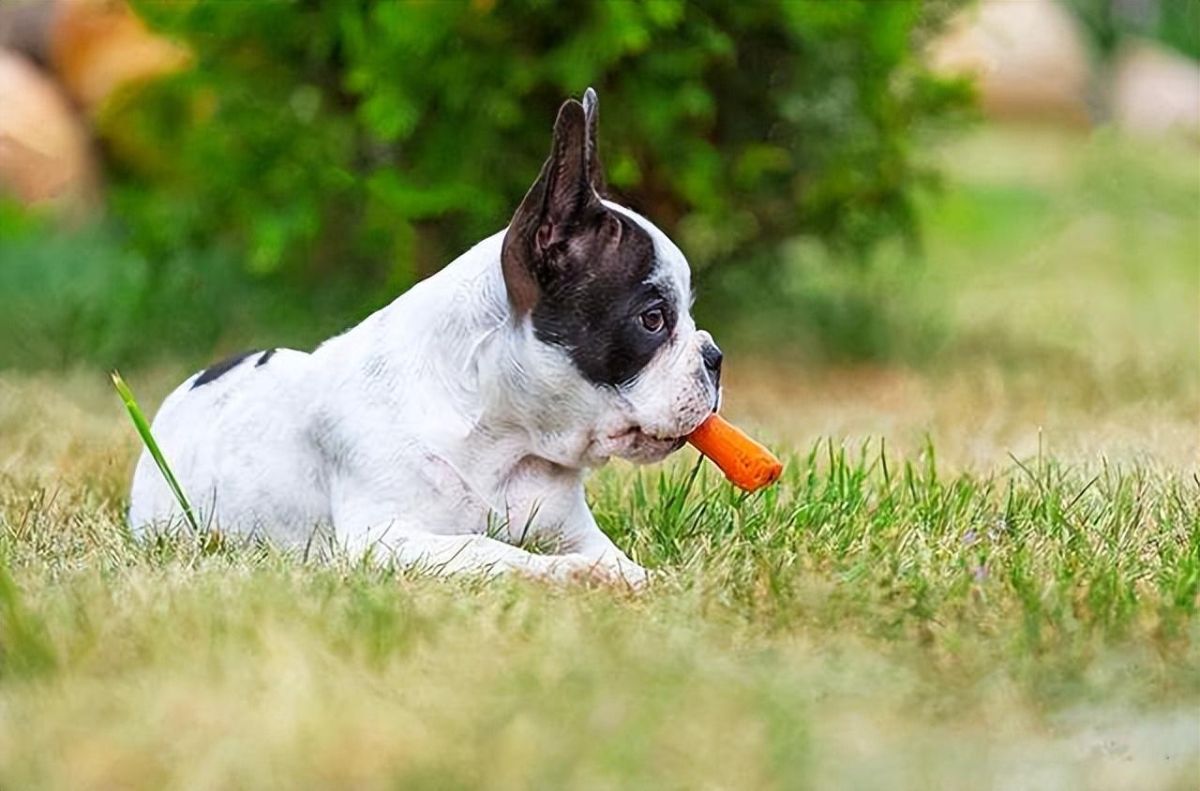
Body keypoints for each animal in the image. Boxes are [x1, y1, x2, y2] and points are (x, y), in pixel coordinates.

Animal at [136, 91, 724, 588]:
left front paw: (634, 578)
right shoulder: (386, 538)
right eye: (653, 319)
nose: (715, 357)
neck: (505, 440)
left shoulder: (575, 530)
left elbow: (613, 558)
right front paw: (570, 574)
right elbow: (491, 550)